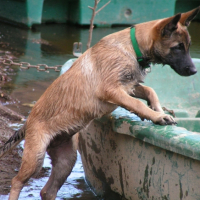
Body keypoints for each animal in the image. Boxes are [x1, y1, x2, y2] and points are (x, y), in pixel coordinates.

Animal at [0, 6, 199, 200]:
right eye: (177, 47)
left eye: (187, 47)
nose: (194, 70)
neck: (133, 47)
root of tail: (27, 123)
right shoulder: (111, 89)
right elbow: (137, 103)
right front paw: (157, 116)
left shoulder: (128, 86)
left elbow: (150, 91)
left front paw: (158, 110)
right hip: (36, 157)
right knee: (17, 181)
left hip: (66, 160)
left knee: (47, 191)